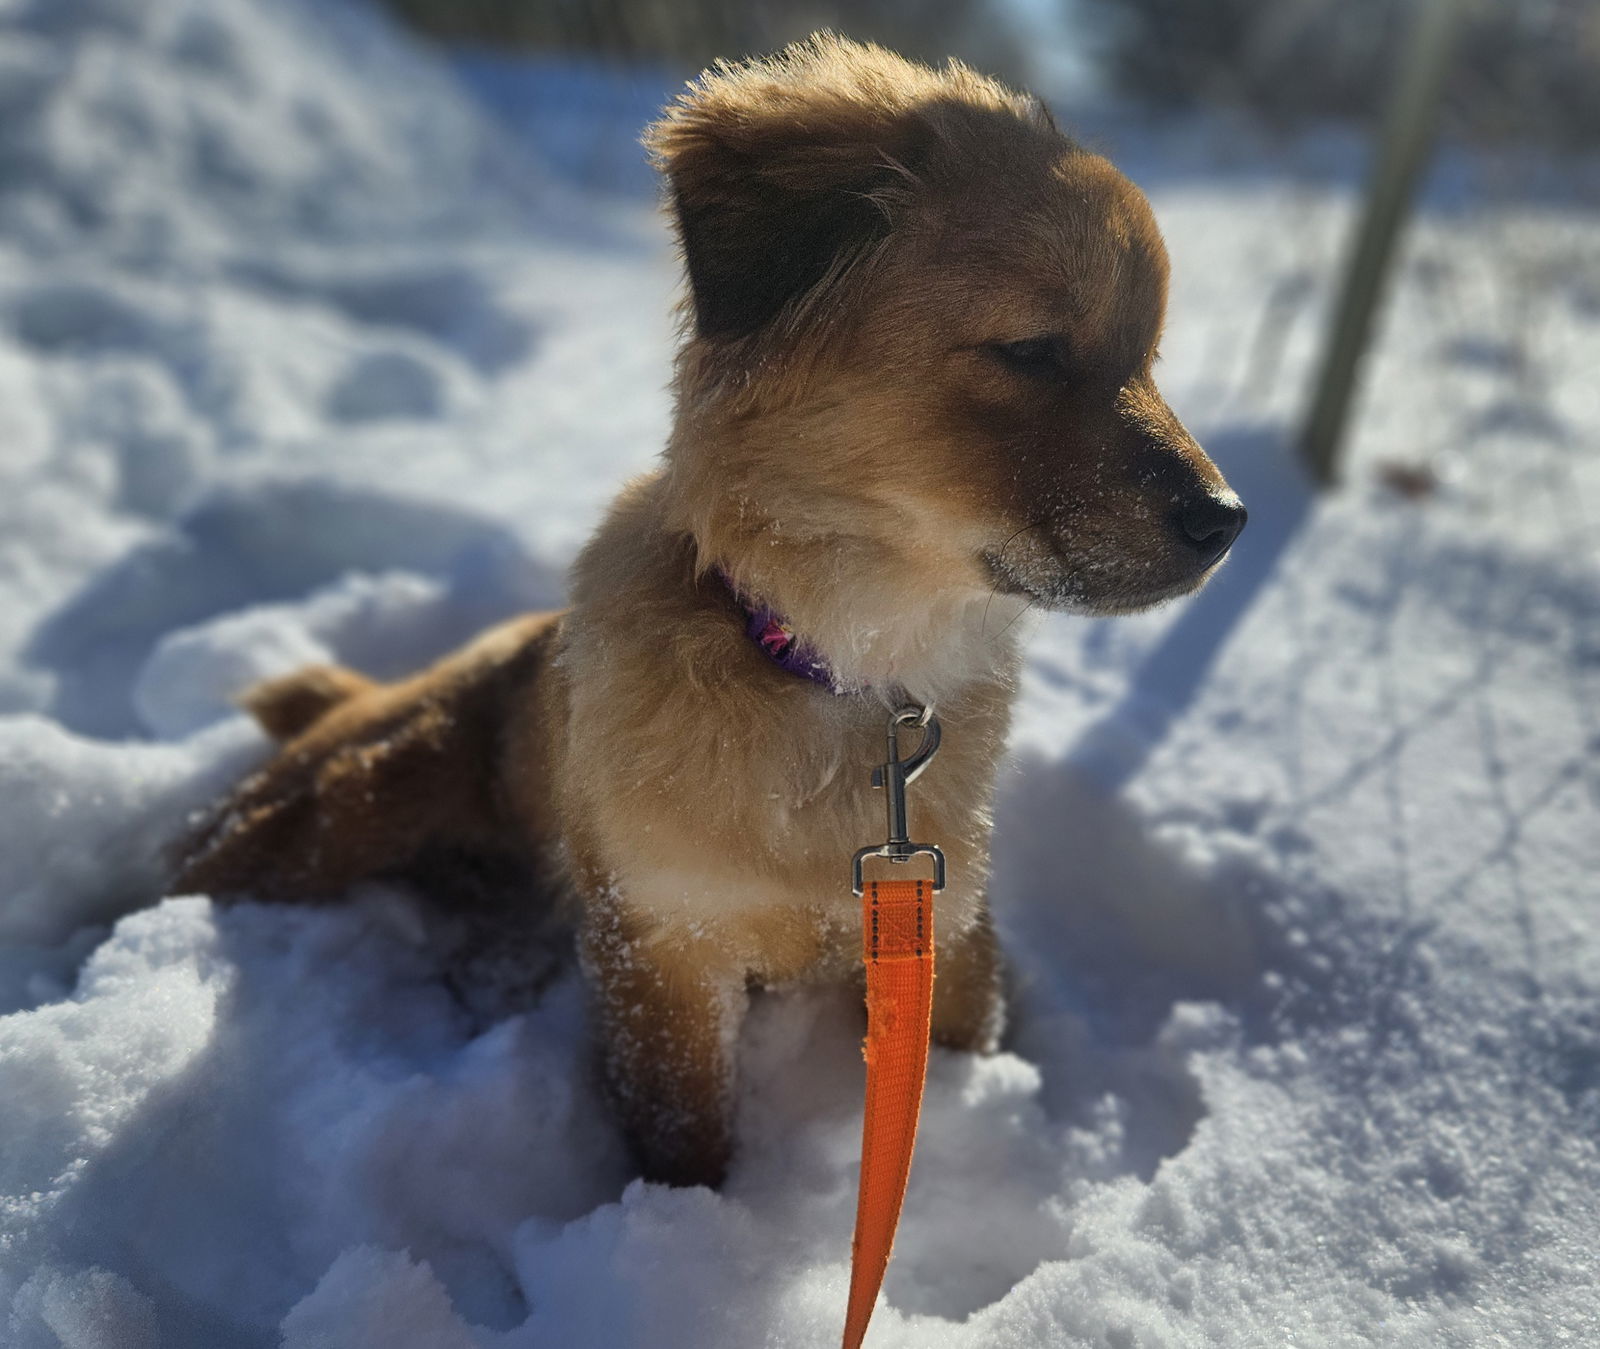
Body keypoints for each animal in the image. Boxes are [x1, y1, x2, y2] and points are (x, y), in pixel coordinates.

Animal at [178, 34, 1248, 1190]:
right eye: (1033, 350)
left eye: (1147, 358)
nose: (1228, 519)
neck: (836, 662)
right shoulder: (662, 944)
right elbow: (684, 1132)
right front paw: (686, 1221)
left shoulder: (947, 927)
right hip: (330, 814)